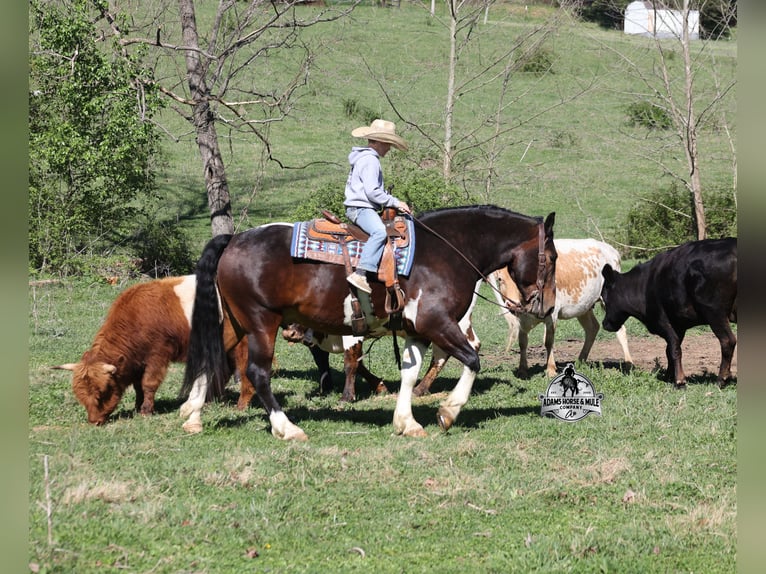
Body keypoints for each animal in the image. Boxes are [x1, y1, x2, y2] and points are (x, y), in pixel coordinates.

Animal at [179, 206, 556, 439]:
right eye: (551, 258)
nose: (548, 305)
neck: (447, 252)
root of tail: (234, 239)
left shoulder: (417, 331)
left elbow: (409, 375)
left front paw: (406, 422)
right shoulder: (436, 323)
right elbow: (473, 360)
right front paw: (448, 413)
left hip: (236, 322)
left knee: (213, 359)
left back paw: (193, 416)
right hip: (261, 323)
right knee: (257, 373)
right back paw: (287, 429)